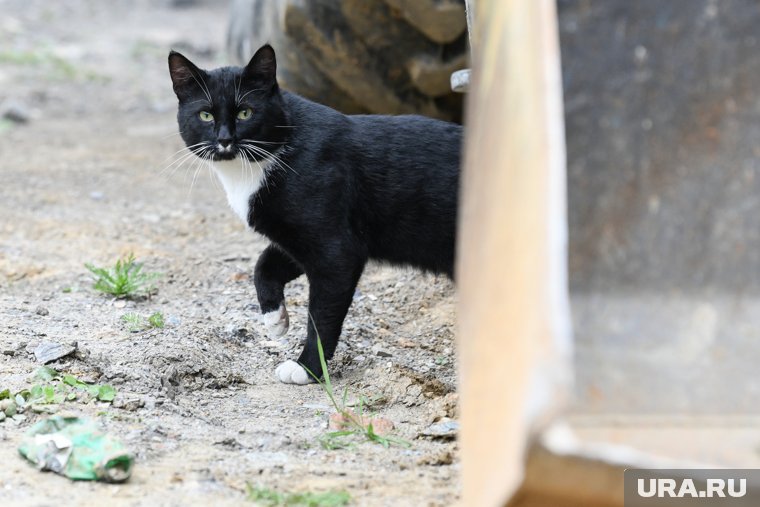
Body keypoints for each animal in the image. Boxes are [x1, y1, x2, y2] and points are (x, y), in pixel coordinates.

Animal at [168, 44, 460, 384]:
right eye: (205, 114)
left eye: (245, 113)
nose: (225, 139)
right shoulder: (294, 237)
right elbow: (264, 263)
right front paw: (274, 319)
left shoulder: (337, 250)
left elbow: (321, 316)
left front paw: (307, 368)